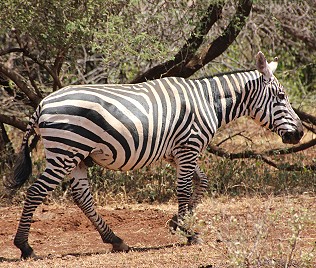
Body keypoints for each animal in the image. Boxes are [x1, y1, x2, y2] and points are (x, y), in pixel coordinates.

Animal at [8, 51, 304, 258]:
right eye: (281, 96)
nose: (300, 134)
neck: (208, 102)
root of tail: (42, 104)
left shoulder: (179, 152)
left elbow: (202, 182)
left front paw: (177, 223)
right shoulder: (189, 146)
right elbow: (184, 189)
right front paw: (188, 232)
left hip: (78, 156)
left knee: (82, 197)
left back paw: (116, 240)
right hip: (66, 151)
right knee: (36, 192)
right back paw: (25, 247)